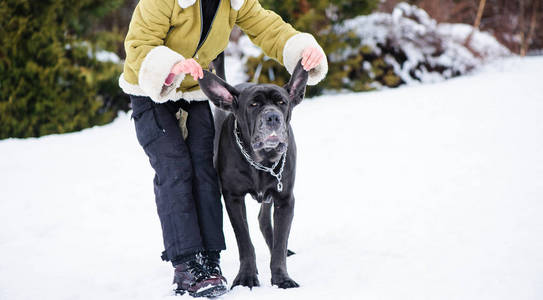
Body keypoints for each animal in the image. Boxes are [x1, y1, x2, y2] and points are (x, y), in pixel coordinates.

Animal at [200, 60, 310, 288]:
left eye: (282, 102)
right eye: (253, 105)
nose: (273, 117)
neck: (261, 161)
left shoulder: (285, 198)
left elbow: (280, 242)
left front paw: (281, 278)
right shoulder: (232, 198)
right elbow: (244, 241)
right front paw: (246, 277)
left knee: (265, 221)